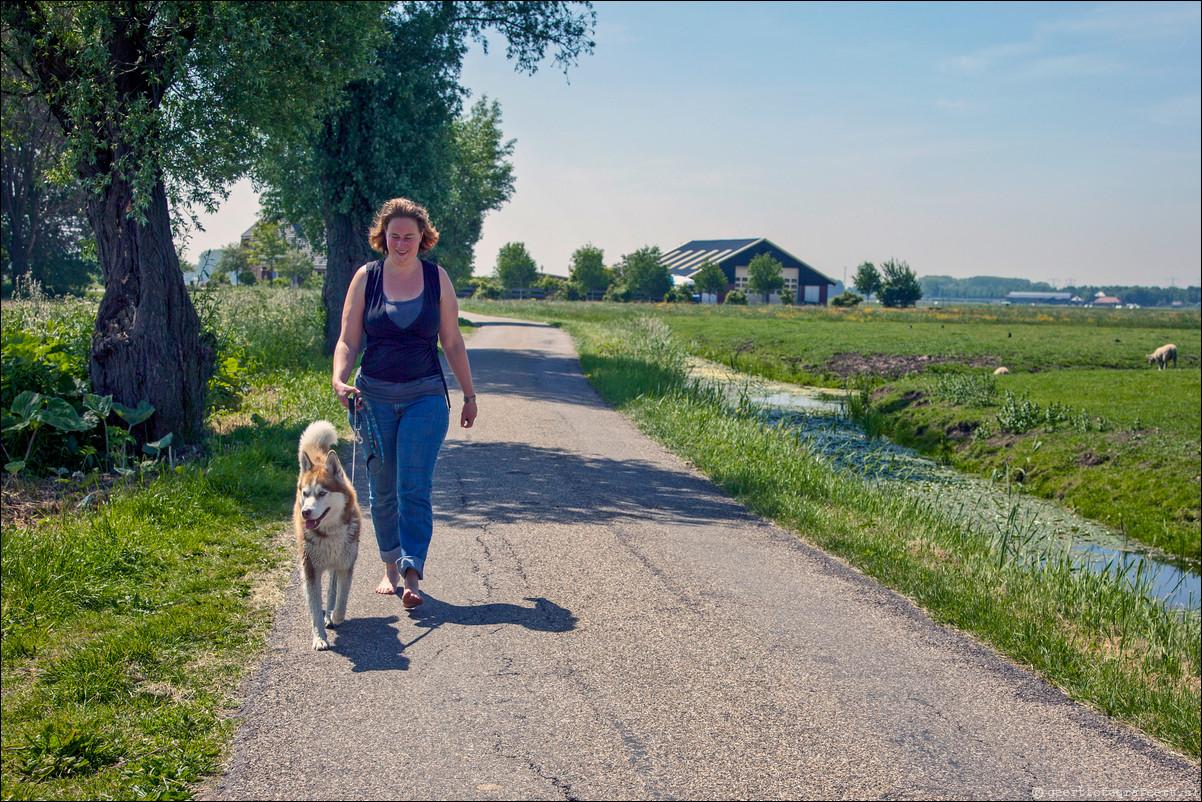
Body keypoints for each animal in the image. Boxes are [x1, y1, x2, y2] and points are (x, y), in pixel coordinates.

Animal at [294, 420, 360, 654]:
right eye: (305, 493)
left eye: (322, 493)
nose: (306, 512)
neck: (329, 532)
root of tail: (320, 459)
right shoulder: (310, 569)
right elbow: (314, 608)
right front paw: (319, 638)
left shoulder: (346, 565)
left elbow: (341, 598)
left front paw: (336, 616)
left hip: (335, 563)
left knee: (332, 588)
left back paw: (331, 615)